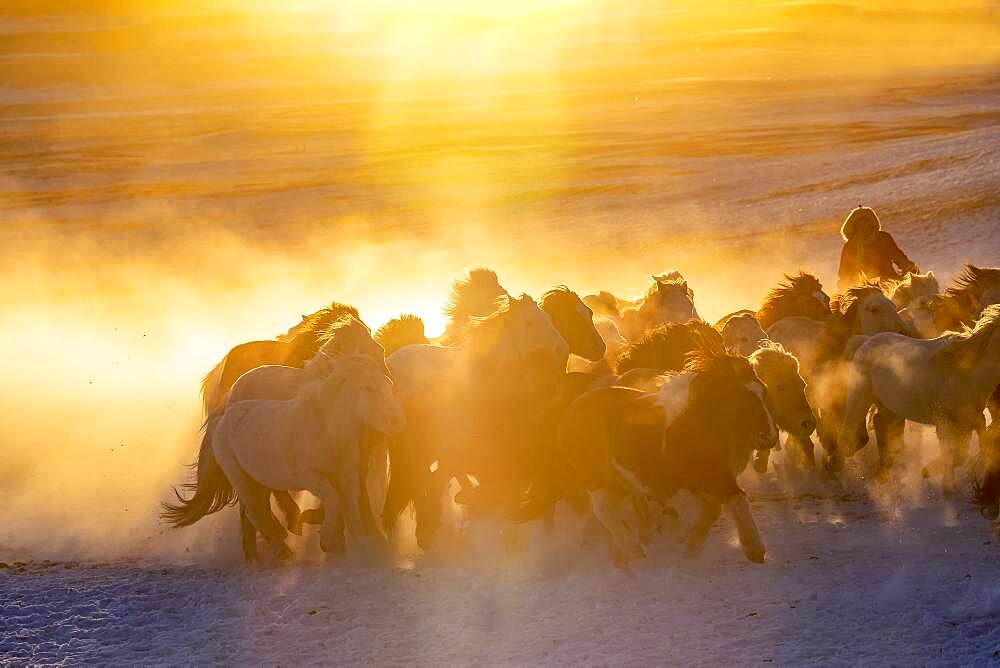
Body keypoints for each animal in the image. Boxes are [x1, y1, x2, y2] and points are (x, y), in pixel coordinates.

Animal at [213, 354, 404, 560]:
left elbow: (351, 510)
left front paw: (360, 548)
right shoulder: (311, 477)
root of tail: (225, 417)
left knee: (258, 511)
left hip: (258, 480)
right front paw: (328, 542)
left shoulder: (347, 477)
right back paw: (280, 549)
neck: (328, 431)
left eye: (389, 383)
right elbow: (334, 500)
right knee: (255, 512)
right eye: (369, 387)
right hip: (241, 478)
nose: (398, 421)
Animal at [840, 304, 1000, 490]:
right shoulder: (943, 419)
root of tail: (865, 342)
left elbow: (965, 452)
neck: (966, 372)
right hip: (860, 398)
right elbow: (950, 451)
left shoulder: (972, 417)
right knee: (848, 433)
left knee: (880, 424)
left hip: (890, 406)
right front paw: (945, 484)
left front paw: (930, 471)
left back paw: (883, 475)